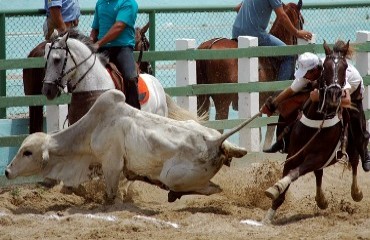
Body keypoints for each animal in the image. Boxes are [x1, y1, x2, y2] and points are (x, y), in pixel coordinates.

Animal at [5, 89, 253, 202]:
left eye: (27, 152)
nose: (7, 171)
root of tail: (215, 141)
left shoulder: (112, 165)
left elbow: (112, 194)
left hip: (172, 176)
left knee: (211, 188)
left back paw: (172, 193)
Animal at [262, 40, 362, 223]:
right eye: (325, 67)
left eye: (345, 67)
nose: (334, 94)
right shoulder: (293, 154)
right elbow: (287, 178)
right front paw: (268, 215)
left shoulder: (317, 157)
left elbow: (294, 173)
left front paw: (277, 186)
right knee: (319, 174)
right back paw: (321, 200)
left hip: (351, 147)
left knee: (354, 162)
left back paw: (356, 192)